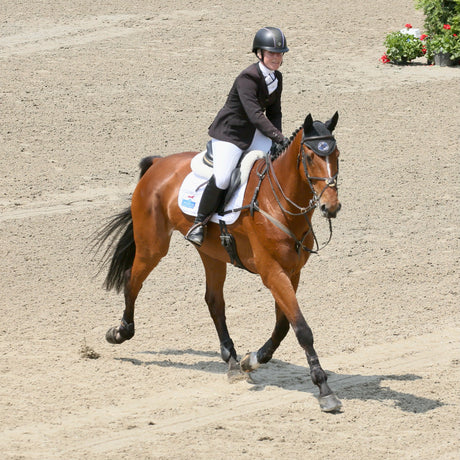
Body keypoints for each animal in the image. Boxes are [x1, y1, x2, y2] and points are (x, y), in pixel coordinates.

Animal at [95, 112, 344, 414]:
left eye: (337, 155)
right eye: (309, 156)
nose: (331, 207)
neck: (278, 203)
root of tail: (159, 163)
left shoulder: (292, 272)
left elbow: (284, 326)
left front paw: (252, 360)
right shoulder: (273, 272)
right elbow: (302, 330)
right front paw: (325, 391)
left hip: (211, 253)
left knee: (214, 300)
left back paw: (232, 361)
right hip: (152, 246)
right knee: (132, 279)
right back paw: (120, 332)